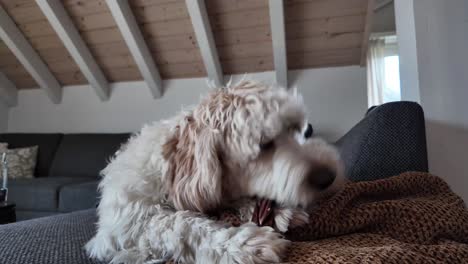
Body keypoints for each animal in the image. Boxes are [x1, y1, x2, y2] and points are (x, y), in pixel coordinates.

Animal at [86, 81, 342, 262]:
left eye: (301, 130)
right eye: (264, 144)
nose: (329, 177)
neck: (169, 171)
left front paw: (277, 210)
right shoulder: (123, 227)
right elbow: (180, 224)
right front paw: (243, 244)